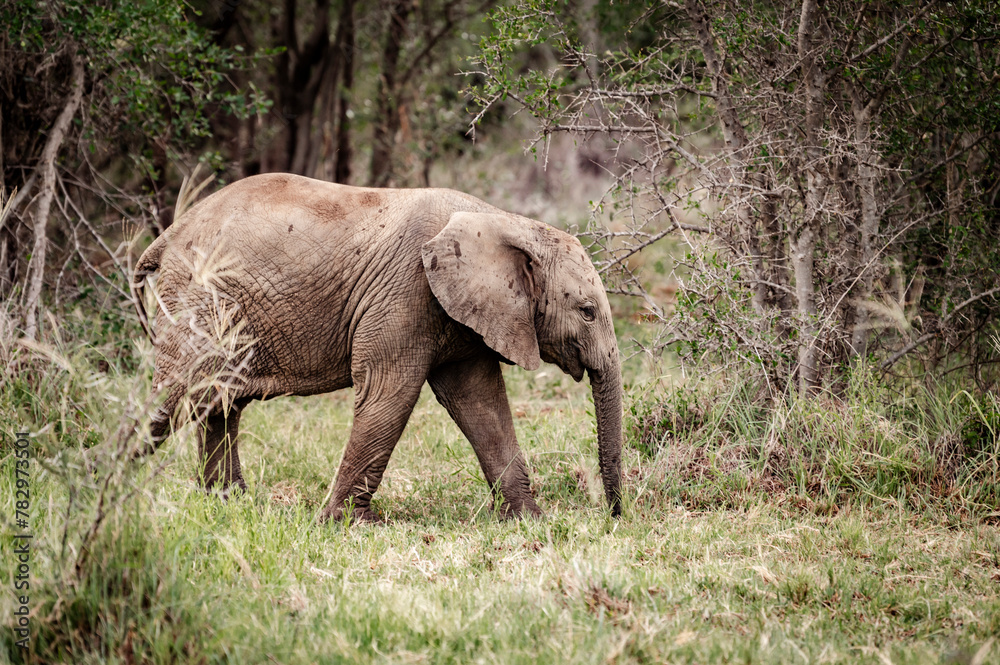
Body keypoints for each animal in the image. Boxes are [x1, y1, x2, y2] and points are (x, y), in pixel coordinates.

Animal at [131, 173, 622, 522]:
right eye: (587, 311)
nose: (614, 516)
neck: (505, 222)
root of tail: (168, 235)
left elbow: (481, 403)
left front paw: (530, 522)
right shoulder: (406, 291)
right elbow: (390, 394)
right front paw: (347, 524)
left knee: (217, 400)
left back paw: (228, 503)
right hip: (198, 299)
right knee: (174, 398)